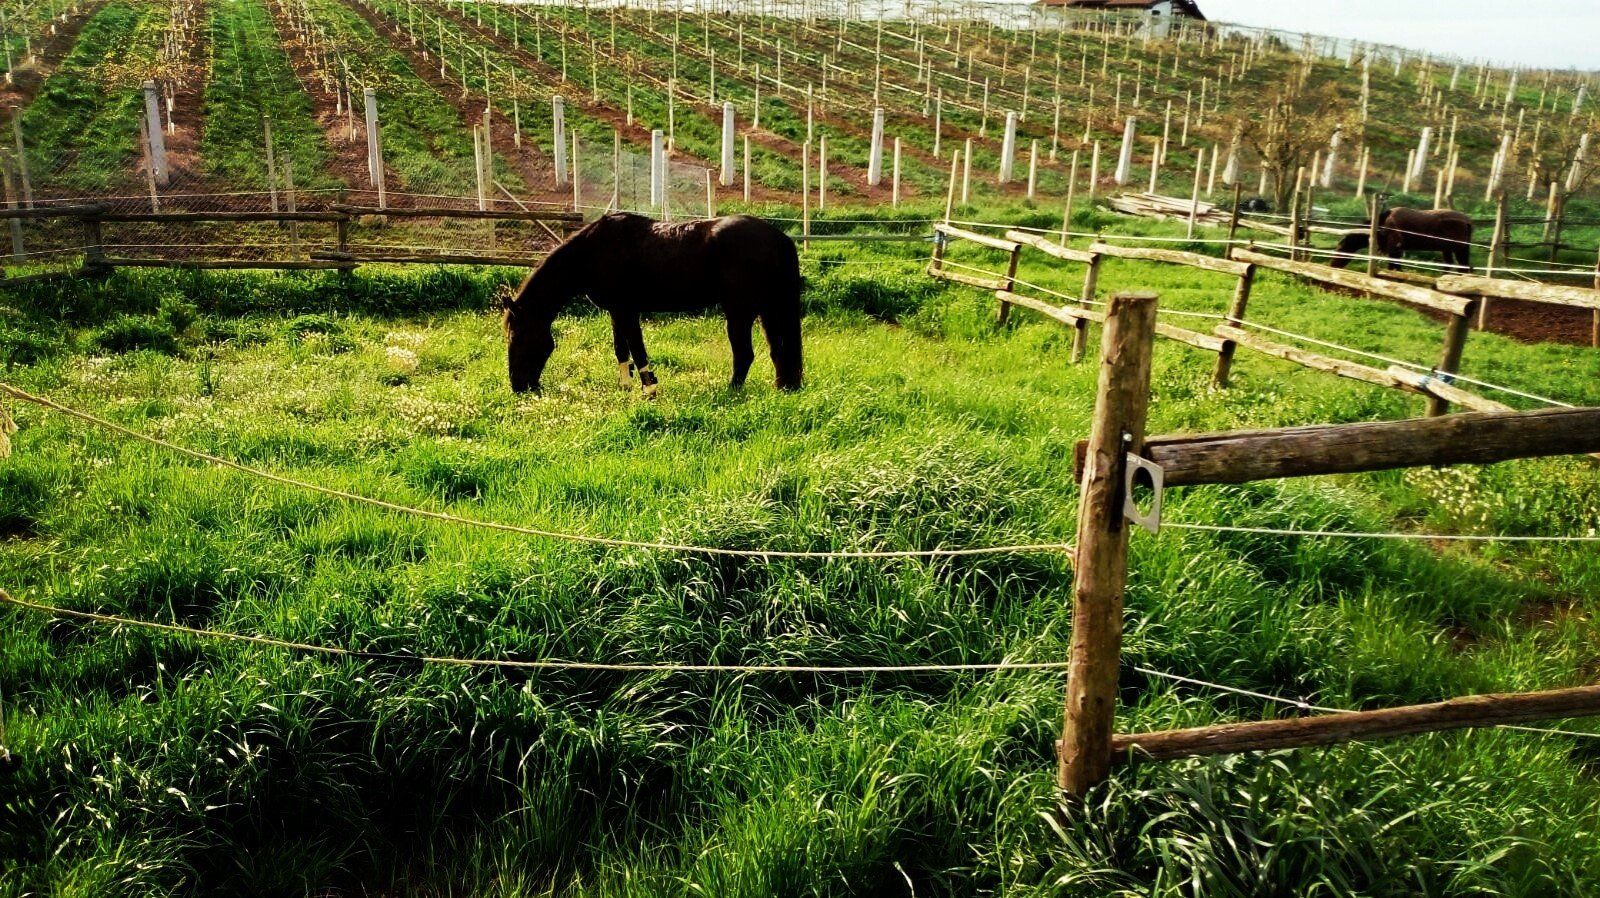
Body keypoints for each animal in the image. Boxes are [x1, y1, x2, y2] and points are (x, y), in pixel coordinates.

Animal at [502, 212, 804, 396]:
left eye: (517, 339)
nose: (519, 386)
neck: (592, 251)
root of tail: (780, 238)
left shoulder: (627, 310)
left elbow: (637, 350)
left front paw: (649, 390)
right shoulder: (617, 311)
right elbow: (621, 350)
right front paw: (625, 387)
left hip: (740, 311)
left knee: (745, 354)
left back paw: (731, 391)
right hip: (768, 309)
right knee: (778, 351)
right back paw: (782, 388)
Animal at [1330, 207, 1474, 272]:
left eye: (1340, 248)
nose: (1332, 265)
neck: (1381, 225)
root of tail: (1468, 221)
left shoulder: (1395, 248)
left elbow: (1394, 268)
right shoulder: (1394, 250)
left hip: (1459, 248)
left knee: (1463, 267)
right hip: (1447, 249)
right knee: (1449, 266)